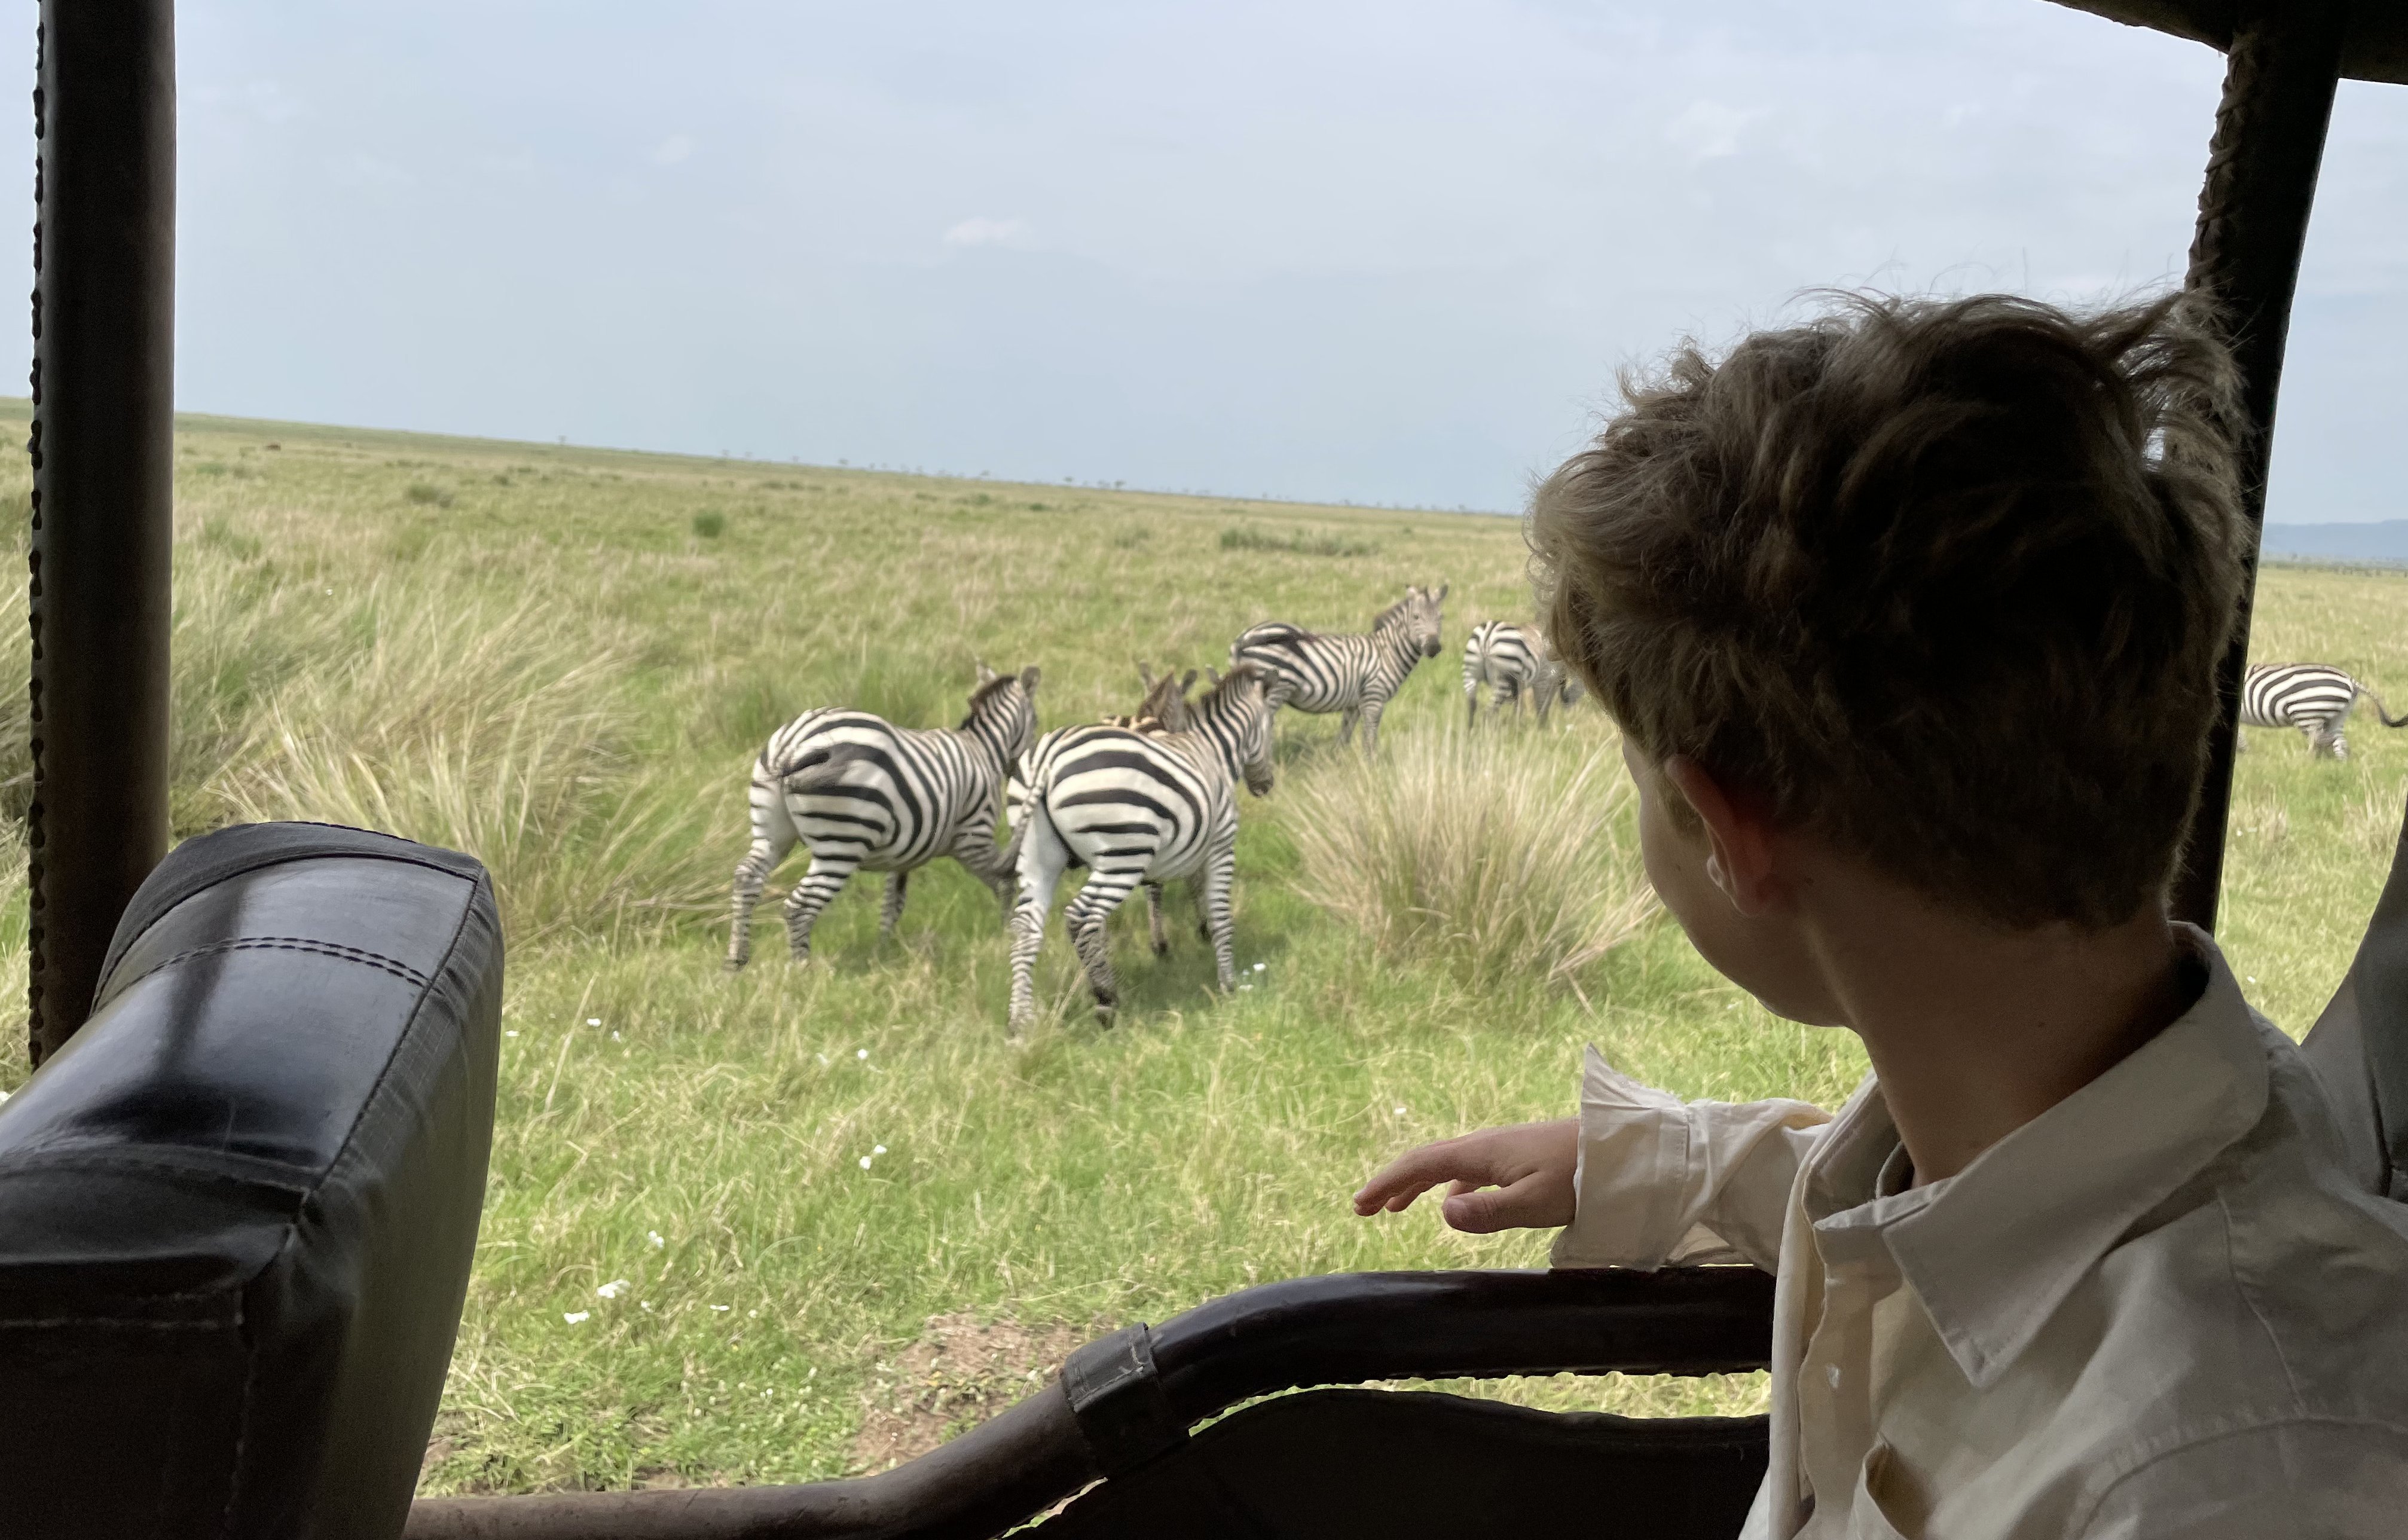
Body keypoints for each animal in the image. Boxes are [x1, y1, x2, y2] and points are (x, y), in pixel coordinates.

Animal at [722, 659, 1045, 967]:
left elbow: (893, 903)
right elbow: (1002, 881)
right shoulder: (974, 834)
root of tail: (791, 747)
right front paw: (1006, 932)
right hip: (841, 842)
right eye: (1037, 722)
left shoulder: (906, 849)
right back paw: (801, 970)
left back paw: (737, 959)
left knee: (747, 877)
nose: (1019, 771)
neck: (984, 749)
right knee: (800, 907)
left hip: (772, 832)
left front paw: (883, 950)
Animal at [1011, 659, 1291, 1034]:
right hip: (1121, 856)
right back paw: (1106, 1000)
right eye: (1271, 724)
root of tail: (1047, 760)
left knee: (1025, 927)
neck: (1213, 750)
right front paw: (1229, 983)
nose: (1266, 785)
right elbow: (1219, 913)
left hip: (1038, 857)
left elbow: (1170, 892)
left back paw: (1021, 1021)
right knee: (1082, 916)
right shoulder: (1221, 844)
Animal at [1233, 582, 1435, 760]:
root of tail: (1245, 638)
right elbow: (1368, 733)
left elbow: (1346, 731)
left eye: (1439, 618)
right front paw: (1371, 764)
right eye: (1416, 617)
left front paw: (1339, 760)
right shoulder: (1373, 696)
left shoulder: (1356, 701)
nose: (1434, 648)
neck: (1387, 651)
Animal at [1464, 621, 1579, 726]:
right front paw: (1539, 730)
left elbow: (1520, 707)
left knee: (1472, 707)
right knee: (1488, 712)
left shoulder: (1521, 684)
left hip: (1470, 674)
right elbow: (1541, 705)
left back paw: (1471, 732)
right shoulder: (1543, 679)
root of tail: (1489, 634)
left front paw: (1516, 728)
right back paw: (1486, 733)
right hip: (1502, 680)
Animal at [2234, 664, 2408, 760]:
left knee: (2317, 742)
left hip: (2306, 714)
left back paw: (2306, 766)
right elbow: (2240, 737)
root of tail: (2351, 680)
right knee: (2339, 743)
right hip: (2339, 716)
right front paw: (2244, 753)